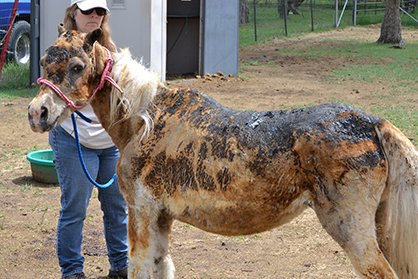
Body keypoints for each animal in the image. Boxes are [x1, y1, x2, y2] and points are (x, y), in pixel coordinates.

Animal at [27, 25, 418, 278]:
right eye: (44, 62)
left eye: (77, 66)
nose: (37, 113)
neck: (144, 120)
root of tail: (370, 123)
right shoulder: (160, 219)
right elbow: (160, 266)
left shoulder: (141, 213)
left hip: (352, 230)